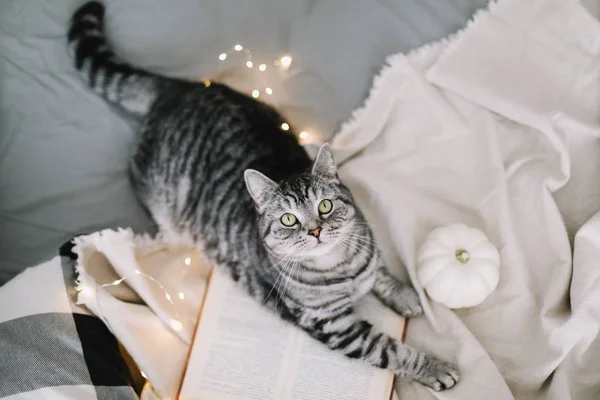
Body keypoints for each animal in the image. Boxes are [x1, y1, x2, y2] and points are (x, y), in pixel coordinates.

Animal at [67, 1, 460, 390]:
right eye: (288, 219)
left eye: (325, 206)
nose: (315, 230)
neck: (339, 267)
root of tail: (180, 89)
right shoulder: (336, 327)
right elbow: (391, 350)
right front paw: (433, 367)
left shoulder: (366, 253)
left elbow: (380, 271)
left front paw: (404, 293)